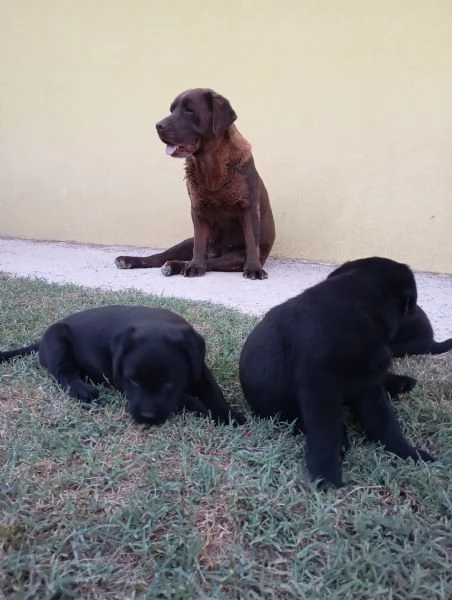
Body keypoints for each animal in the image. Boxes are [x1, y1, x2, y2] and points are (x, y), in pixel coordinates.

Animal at [0, 304, 245, 426]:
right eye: (133, 380)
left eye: (169, 384)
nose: (147, 417)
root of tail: (40, 342)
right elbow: (188, 399)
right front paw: (209, 412)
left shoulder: (199, 368)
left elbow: (213, 391)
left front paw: (228, 414)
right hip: (57, 339)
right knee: (63, 373)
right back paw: (83, 389)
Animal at [240, 256, 434, 488]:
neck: (358, 309)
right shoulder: (321, 389)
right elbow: (326, 433)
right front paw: (327, 475)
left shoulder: (369, 383)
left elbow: (384, 422)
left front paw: (409, 453)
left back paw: (401, 383)